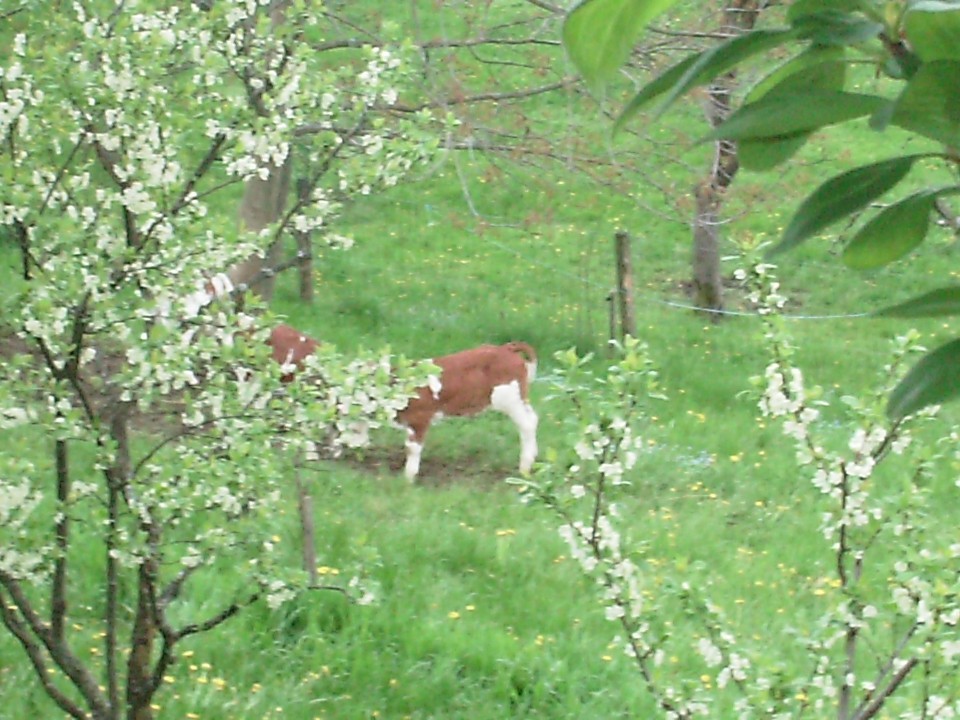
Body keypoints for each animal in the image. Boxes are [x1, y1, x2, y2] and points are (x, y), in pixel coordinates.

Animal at [266, 328, 540, 484]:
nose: (337, 449)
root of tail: (506, 348)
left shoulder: (420, 419)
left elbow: (412, 448)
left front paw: (408, 478)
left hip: (509, 398)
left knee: (526, 424)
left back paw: (525, 467)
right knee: (533, 418)